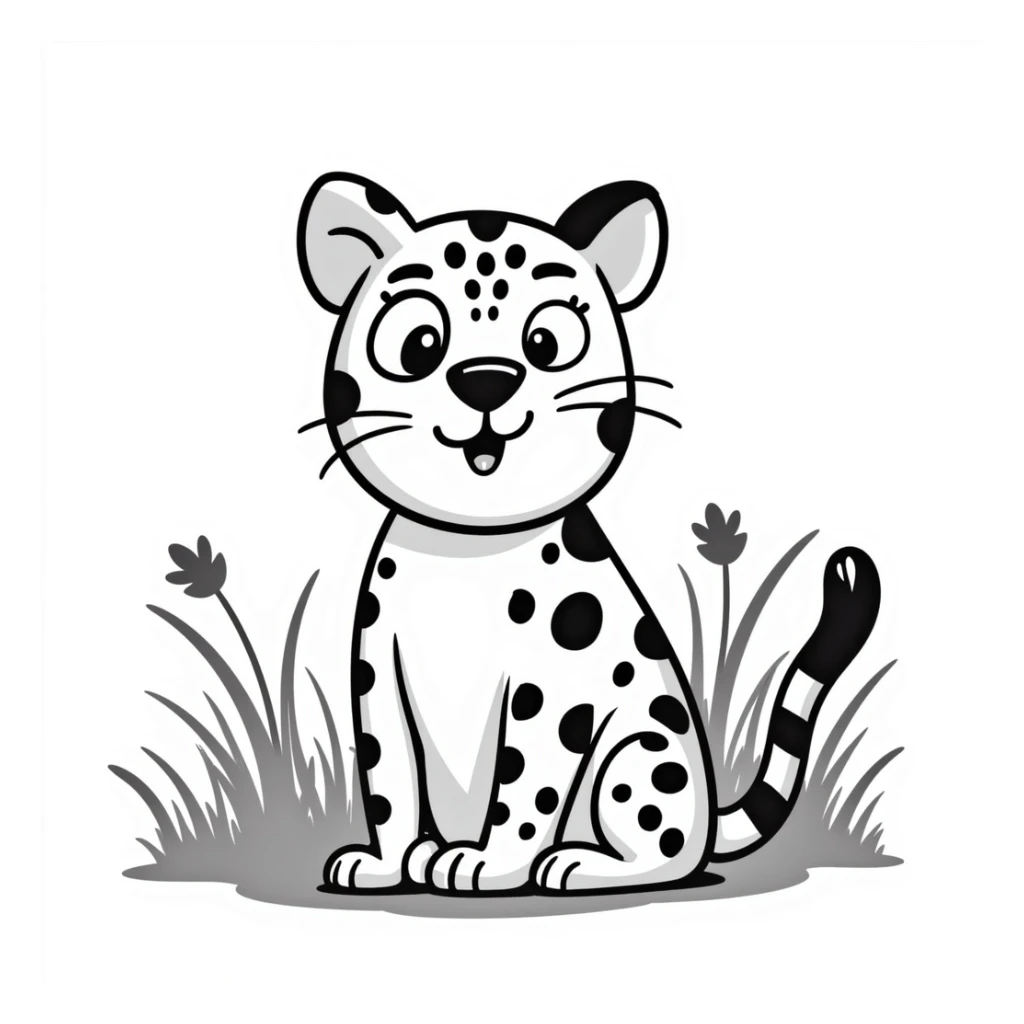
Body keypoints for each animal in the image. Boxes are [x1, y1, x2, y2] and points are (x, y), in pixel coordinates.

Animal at [295, 172, 882, 895]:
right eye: (420, 344)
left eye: (546, 342)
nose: (486, 380)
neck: (469, 547)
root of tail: (712, 816)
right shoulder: (379, 676)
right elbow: (388, 781)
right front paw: (385, 863)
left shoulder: (549, 692)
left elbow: (525, 788)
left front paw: (491, 864)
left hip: (642, 756)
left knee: (670, 852)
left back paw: (582, 862)